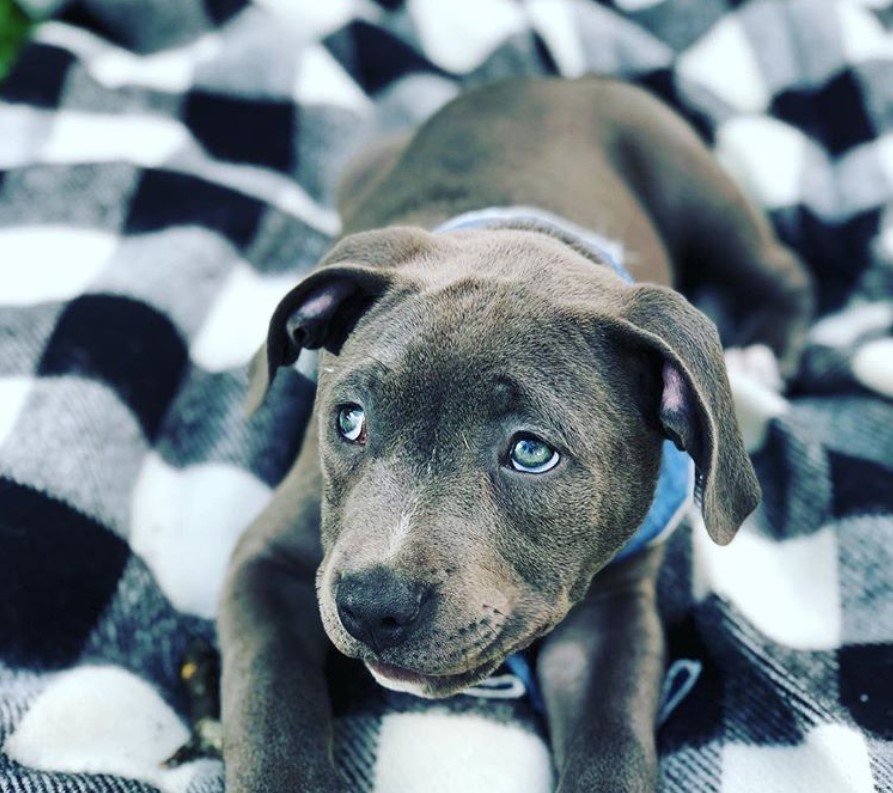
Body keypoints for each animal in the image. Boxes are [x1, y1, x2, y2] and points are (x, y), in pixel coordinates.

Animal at [216, 76, 808, 792]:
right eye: (349, 420)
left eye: (531, 453)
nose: (371, 604)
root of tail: (554, 81)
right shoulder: (268, 562)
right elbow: (272, 703)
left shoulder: (611, 614)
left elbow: (612, 737)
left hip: (692, 181)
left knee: (782, 269)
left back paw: (756, 364)